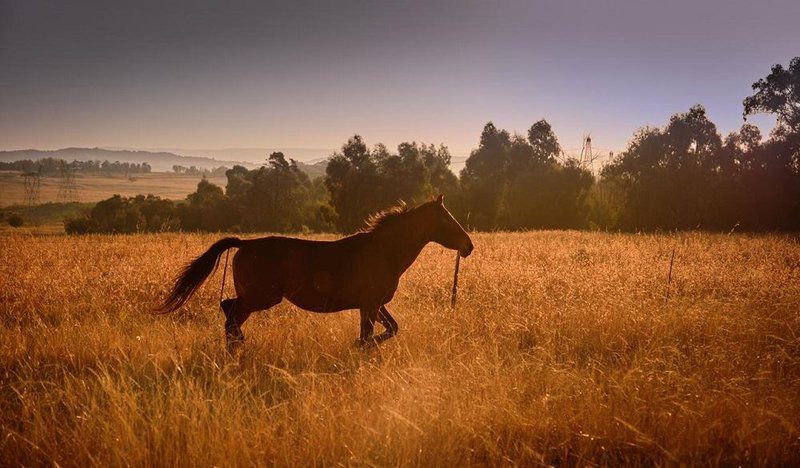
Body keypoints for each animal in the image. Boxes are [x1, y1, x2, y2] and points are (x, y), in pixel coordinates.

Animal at [159, 194, 472, 352]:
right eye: (447, 219)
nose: (468, 246)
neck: (384, 251)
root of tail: (245, 243)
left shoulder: (374, 304)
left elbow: (391, 329)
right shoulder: (369, 305)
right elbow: (367, 337)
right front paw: (359, 348)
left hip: (257, 298)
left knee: (229, 313)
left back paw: (236, 347)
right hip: (262, 297)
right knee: (230, 312)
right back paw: (237, 347)